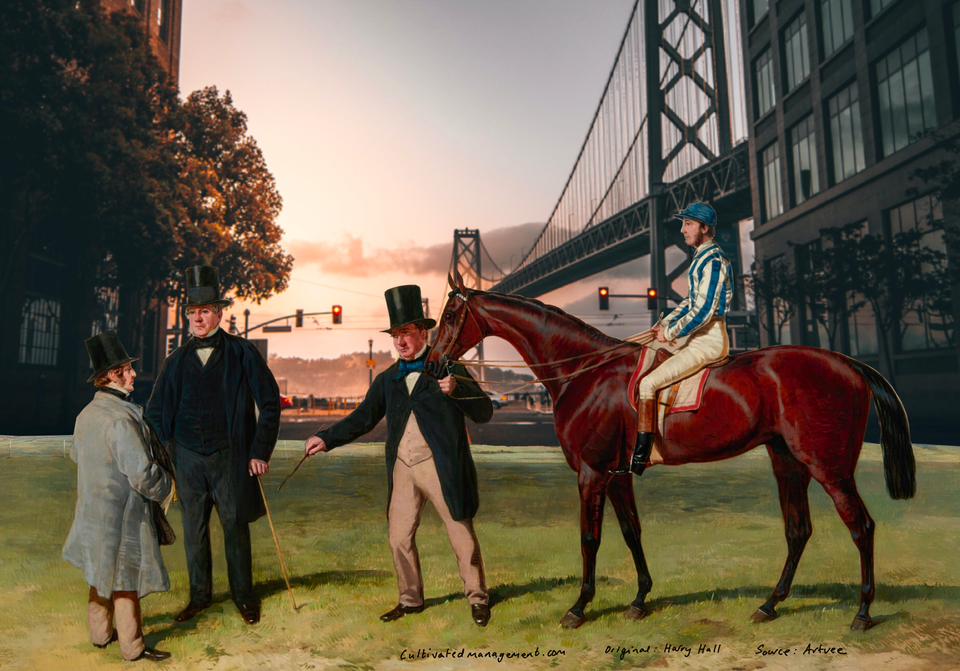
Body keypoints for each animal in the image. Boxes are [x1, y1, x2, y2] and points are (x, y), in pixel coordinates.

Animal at [426, 272, 916, 632]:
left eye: (449, 313)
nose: (430, 366)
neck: (585, 371)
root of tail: (848, 362)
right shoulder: (618, 474)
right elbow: (631, 533)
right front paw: (640, 598)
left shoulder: (591, 473)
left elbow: (589, 538)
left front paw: (579, 608)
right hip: (787, 461)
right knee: (798, 530)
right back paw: (769, 605)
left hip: (828, 467)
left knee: (861, 527)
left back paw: (862, 613)